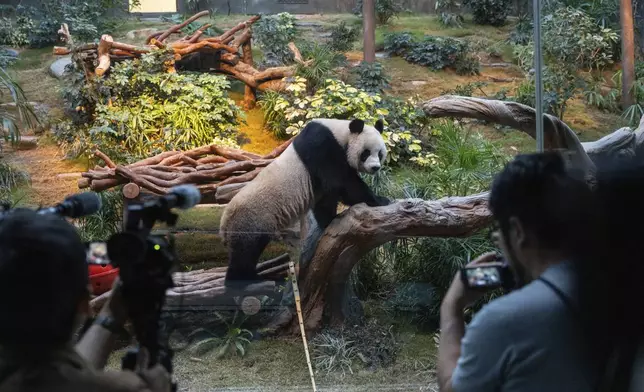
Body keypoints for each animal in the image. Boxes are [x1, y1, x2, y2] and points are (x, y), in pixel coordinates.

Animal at [221, 116, 390, 288]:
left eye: (380, 153)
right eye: (366, 153)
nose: (375, 167)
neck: (341, 133)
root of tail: (224, 224)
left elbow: (326, 196)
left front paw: (329, 220)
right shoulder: (321, 145)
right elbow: (341, 181)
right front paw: (380, 200)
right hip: (251, 219)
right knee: (246, 251)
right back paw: (245, 280)